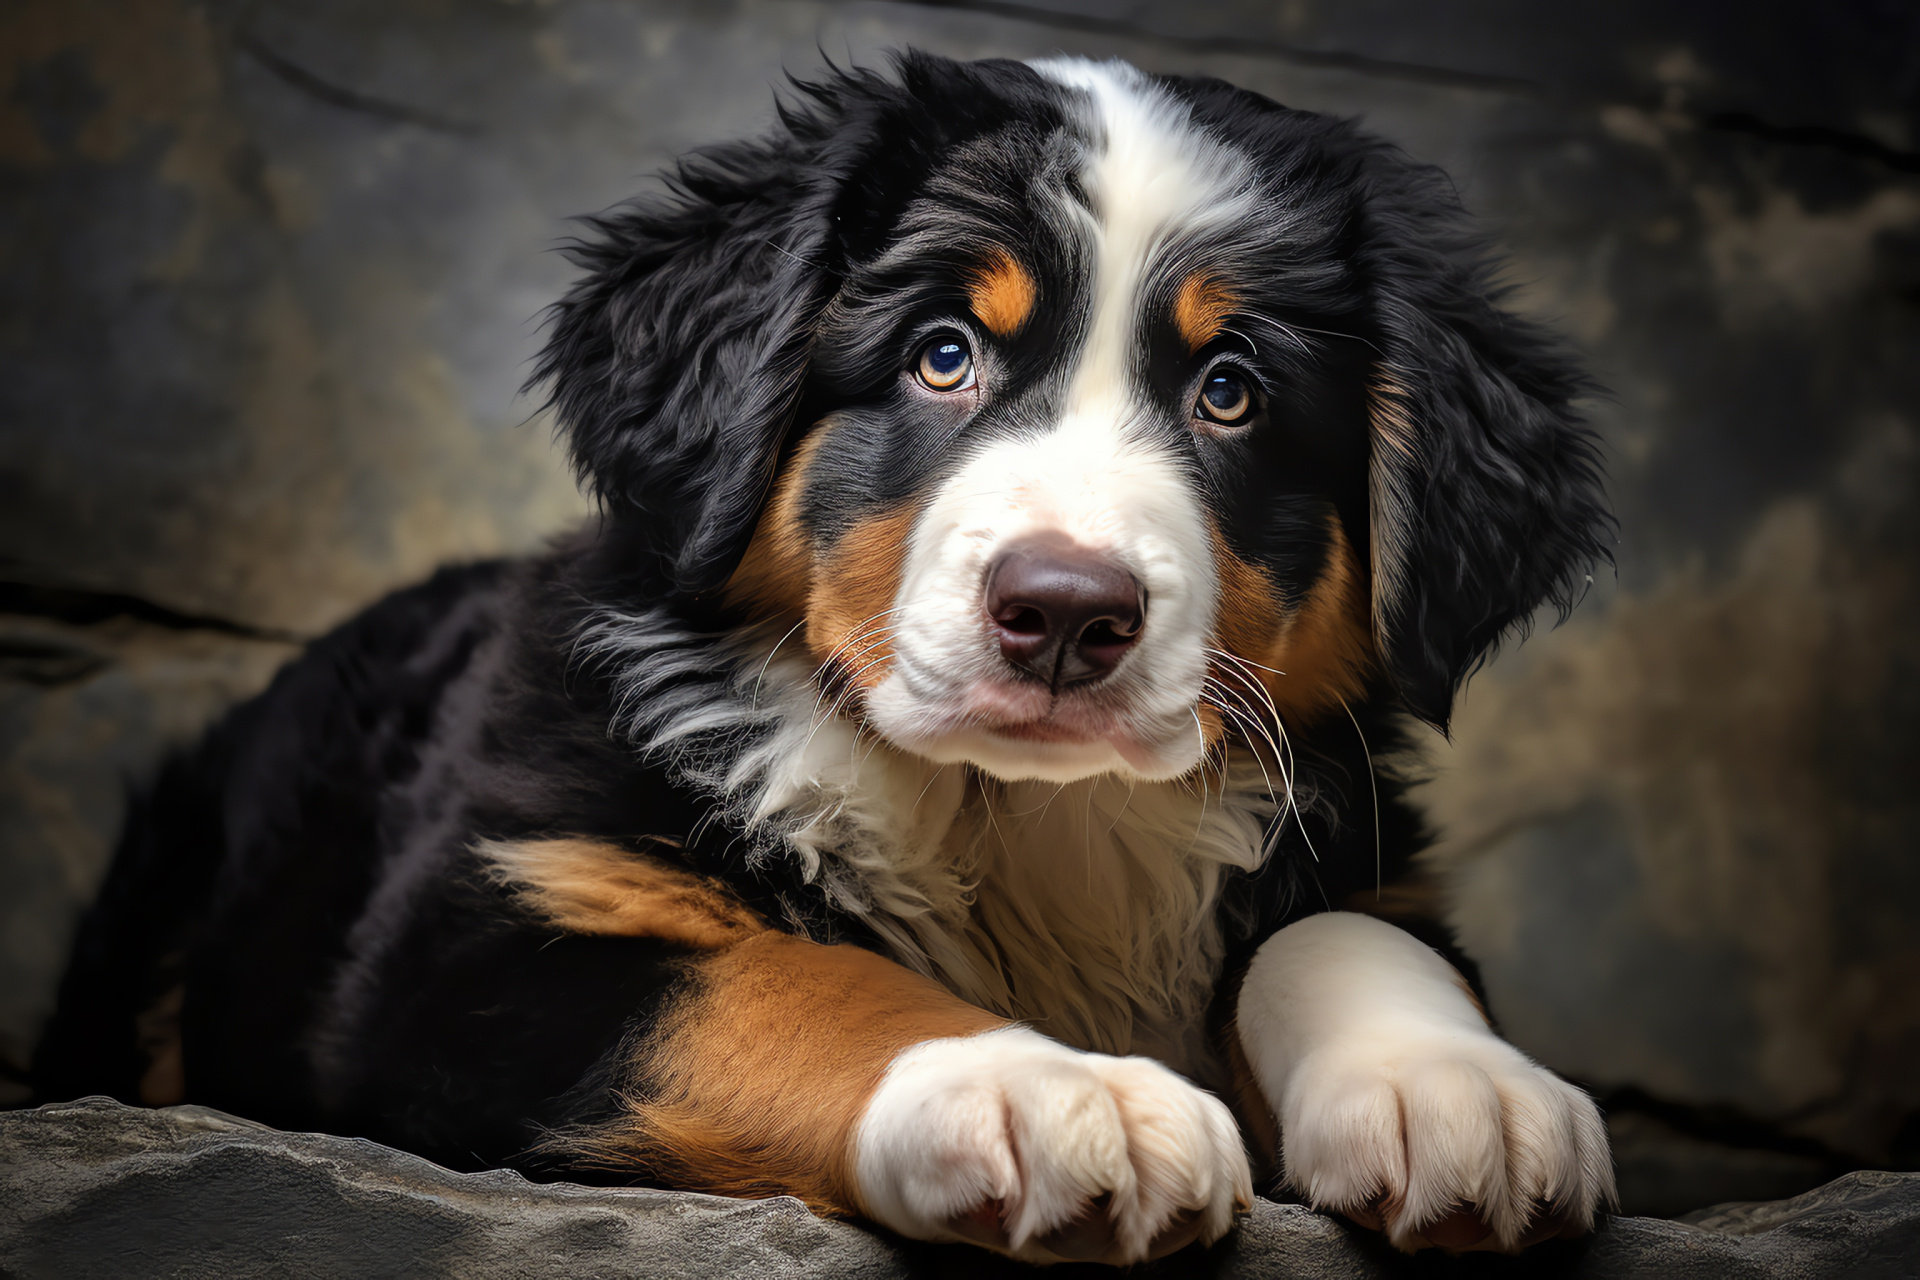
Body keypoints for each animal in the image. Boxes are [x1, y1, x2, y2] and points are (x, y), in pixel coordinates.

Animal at [33, 55, 1620, 1266]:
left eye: (1230, 391)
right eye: (941, 354)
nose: (1066, 610)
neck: (1012, 818)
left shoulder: (1357, 838)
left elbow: (1336, 931)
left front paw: (1457, 1088)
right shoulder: (465, 958)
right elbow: (791, 981)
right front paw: (1037, 1089)